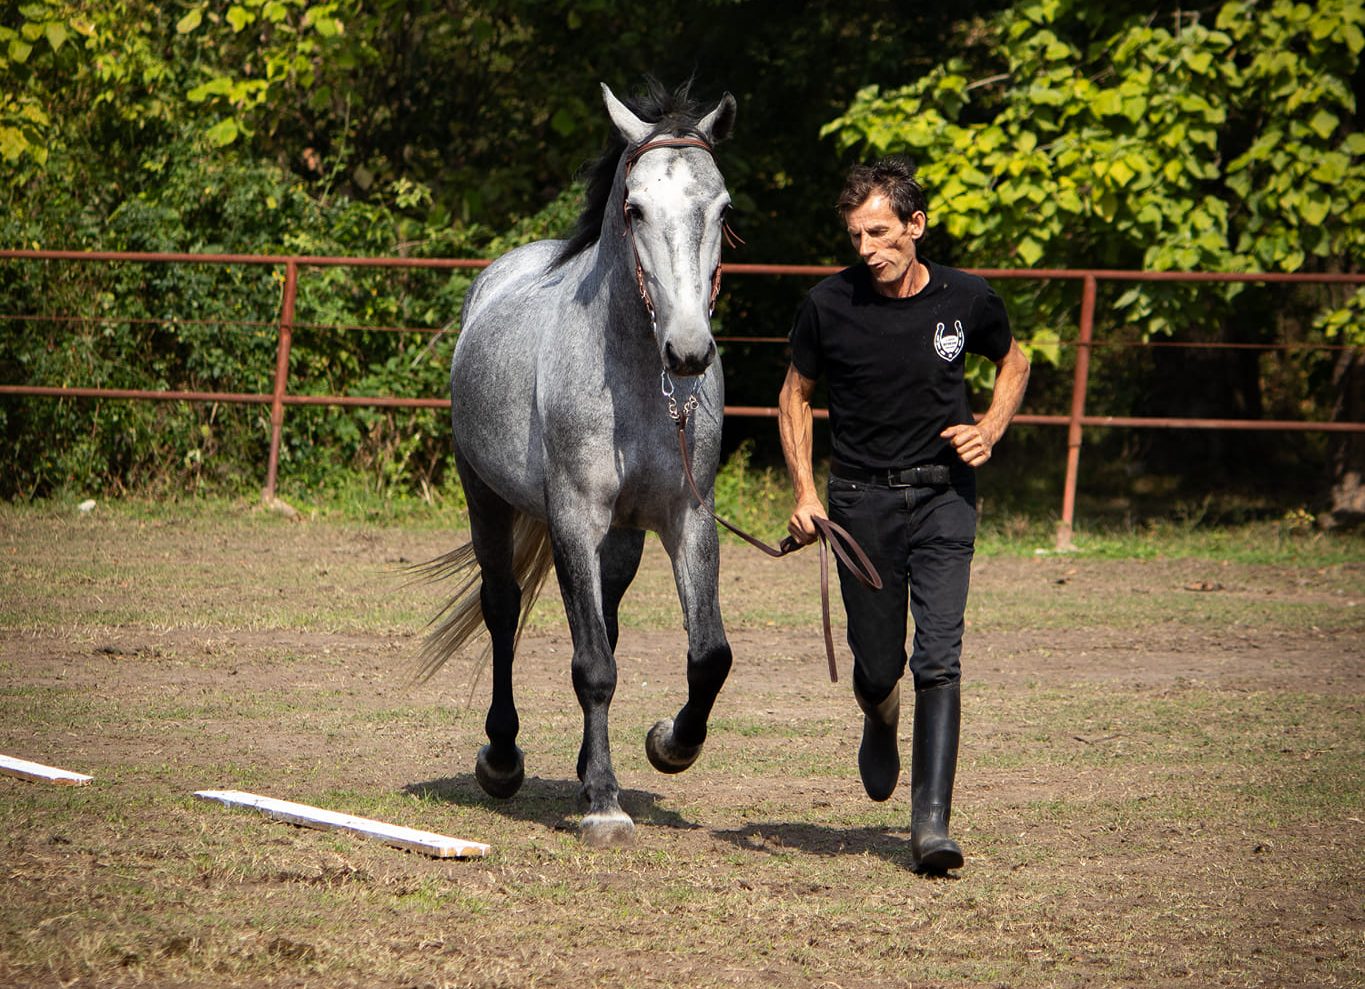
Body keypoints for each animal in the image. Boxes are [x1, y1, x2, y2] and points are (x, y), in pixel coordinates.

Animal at [420, 81, 742, 845]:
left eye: (722, 209)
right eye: (635, 208)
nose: (688, 351)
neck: (637, 381)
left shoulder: (689, 516)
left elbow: (707, 654)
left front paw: (669, 744)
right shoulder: (571, 518)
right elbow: (592, 664)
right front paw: (602, 802)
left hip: (621, 537)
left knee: (609, 617)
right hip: (485, 497)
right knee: (503, 609)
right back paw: (502, 758)